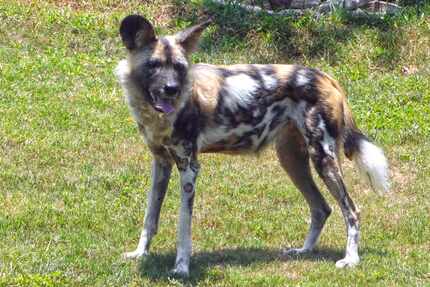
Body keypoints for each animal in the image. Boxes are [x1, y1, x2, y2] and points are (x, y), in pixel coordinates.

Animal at [115, 15, 390, 276]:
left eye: (180, 68)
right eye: (154, 65)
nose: (171, 89)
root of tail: (326, 77)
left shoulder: (189, 168)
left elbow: (184, 226)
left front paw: (182, 268)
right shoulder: (162, 162)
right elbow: (150, 215)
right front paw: (140, 253)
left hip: (323, 158)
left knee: (351, 210)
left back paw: (351, 259)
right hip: (292, 160)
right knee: (322, 208)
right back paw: (304, 251)